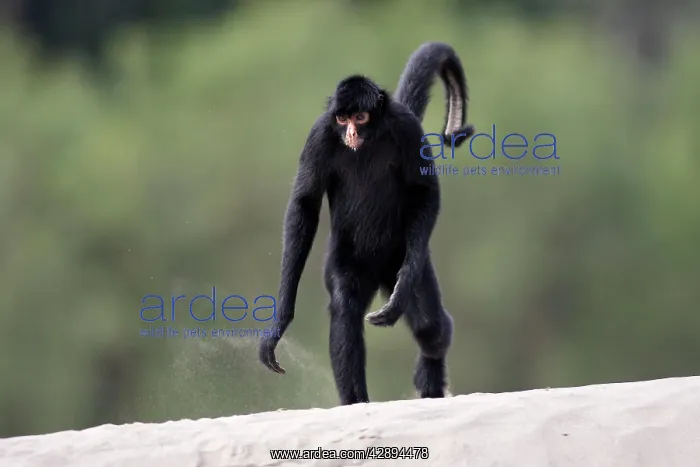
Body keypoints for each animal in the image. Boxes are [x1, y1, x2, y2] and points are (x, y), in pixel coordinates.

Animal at [259, 42, 475, 405]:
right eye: (342, 118)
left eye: (359, 117)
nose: (350, 131)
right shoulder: (320, 134)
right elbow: (305, 205)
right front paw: (280, 321)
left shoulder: (406, 127)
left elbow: (425, 192)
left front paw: (401, 293)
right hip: (346, 257)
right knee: (347, 306)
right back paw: (355, 401)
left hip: (406, 254)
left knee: (431, 329)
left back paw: (429, 378)